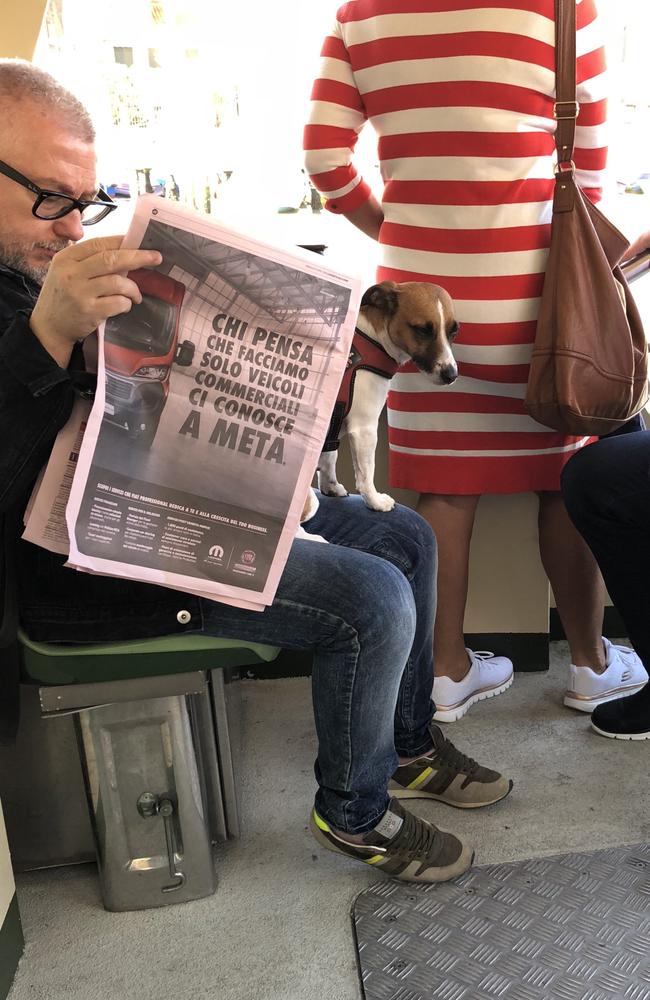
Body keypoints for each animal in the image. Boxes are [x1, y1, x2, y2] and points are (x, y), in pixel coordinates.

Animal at [302, 278, 458, 520]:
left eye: (453, 332)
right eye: (423, 330)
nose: (452, 375)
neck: (374, 341)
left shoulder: (333, 426)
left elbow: (329, 456)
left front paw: (330, 486)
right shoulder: (364, 429)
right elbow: (366, 473)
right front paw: (374, 501)